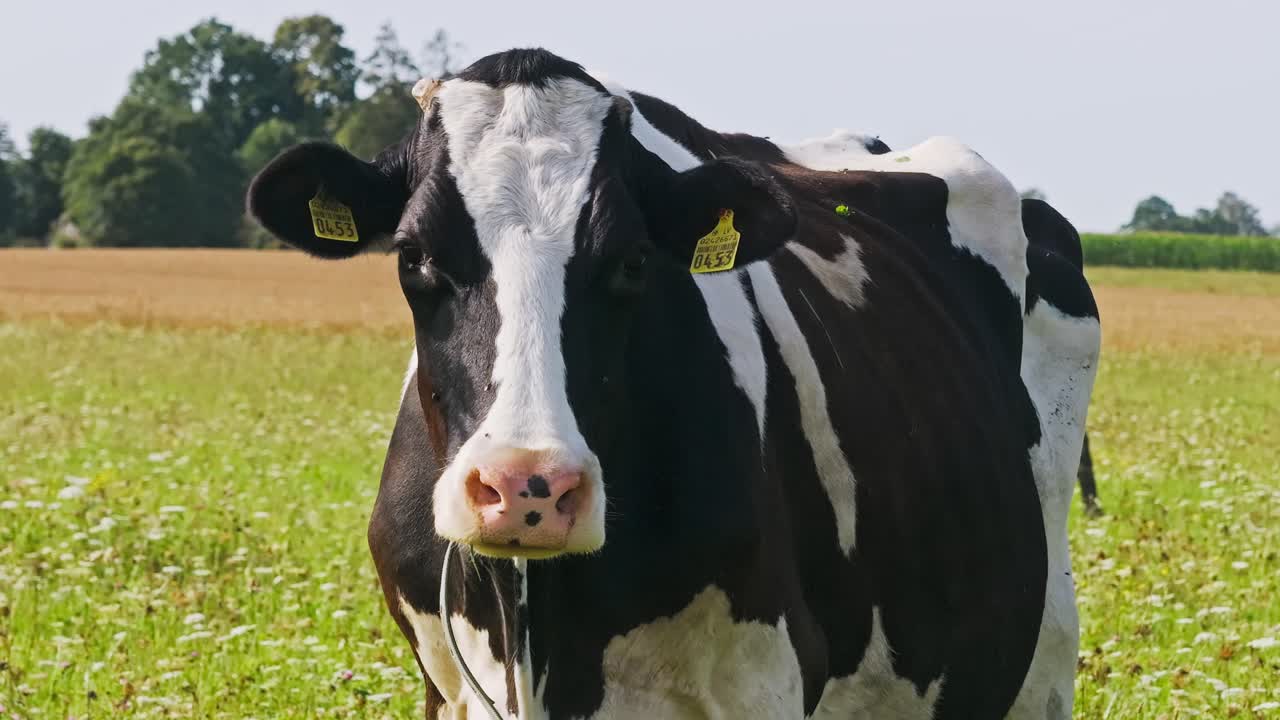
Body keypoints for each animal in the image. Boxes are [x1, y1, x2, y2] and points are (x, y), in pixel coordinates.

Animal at [247, 49, 1100, 719]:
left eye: (632, 260)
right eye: (414, 256)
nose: (527, 488)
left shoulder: (763, 682)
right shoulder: (452, 688)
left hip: (1043, 654)